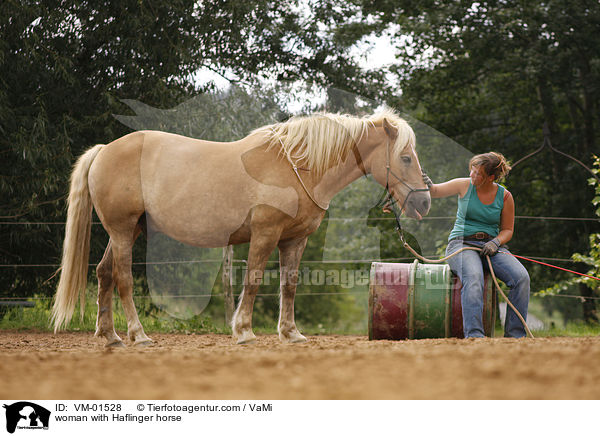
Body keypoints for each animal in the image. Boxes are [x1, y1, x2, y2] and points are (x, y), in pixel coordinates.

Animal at [49, 110, 428, 348]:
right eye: (405, 158)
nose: (423, 203)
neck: (298, 166)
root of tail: (104, 151)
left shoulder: (294, 241)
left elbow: (289, 286)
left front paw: (291, 334)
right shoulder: (265, 235)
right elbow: (254, 280)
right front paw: (243, 331)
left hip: (125, 232)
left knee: (103, 274)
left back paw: (110, 336)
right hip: (123, 230)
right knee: (123, 278)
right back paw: (138, 335)